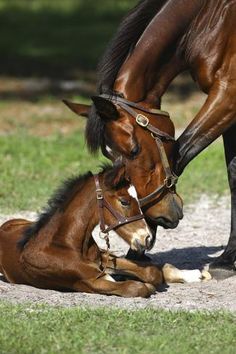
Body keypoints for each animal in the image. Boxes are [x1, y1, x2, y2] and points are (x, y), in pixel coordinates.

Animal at [0, 165, 206, 298]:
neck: (65, 244)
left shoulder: (103, 257)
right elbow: (138, 288)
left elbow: (151, 272)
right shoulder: (88, 282)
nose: (146, 238)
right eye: (124, 201)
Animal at [64, 0, 236, 276]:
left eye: (134, 150)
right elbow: (233, 177)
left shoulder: (227, 95)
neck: (206, 18)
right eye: (109, 154)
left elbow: (179, 155)